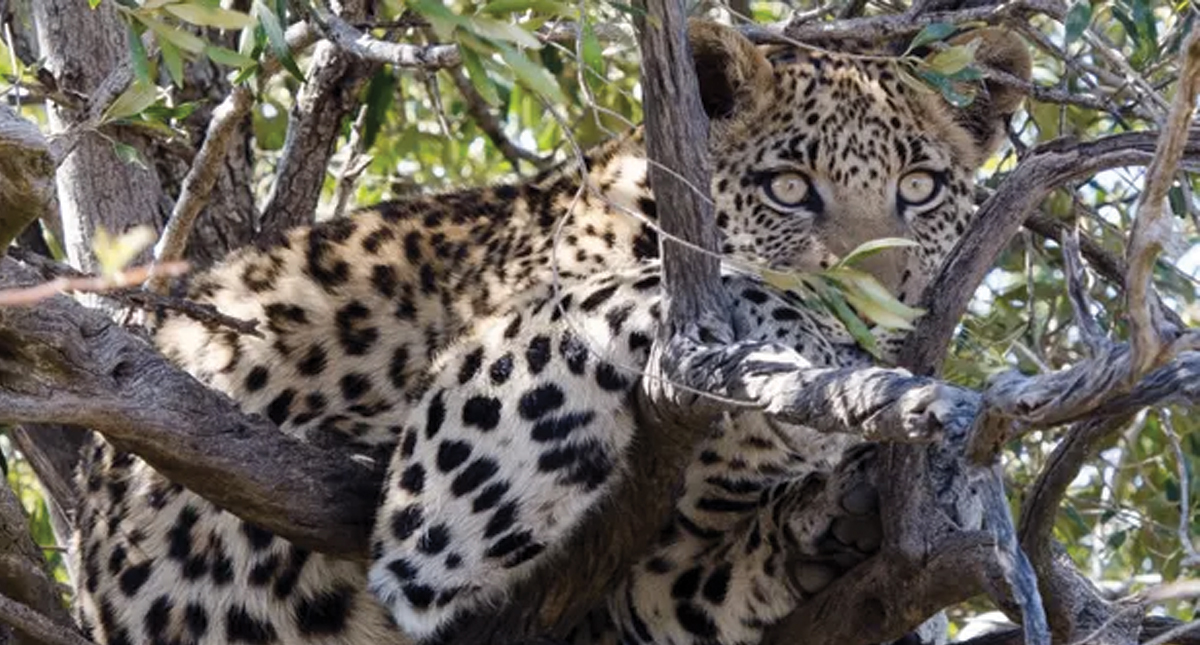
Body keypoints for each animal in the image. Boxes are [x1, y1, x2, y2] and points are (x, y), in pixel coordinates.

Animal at [70, 19, 1030, 645]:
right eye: (790, 188)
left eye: (920, 189)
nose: (884, 313)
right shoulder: (436, 490)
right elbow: (647, 293)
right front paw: (819, 355)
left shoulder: (657, 584)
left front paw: (835, 513)